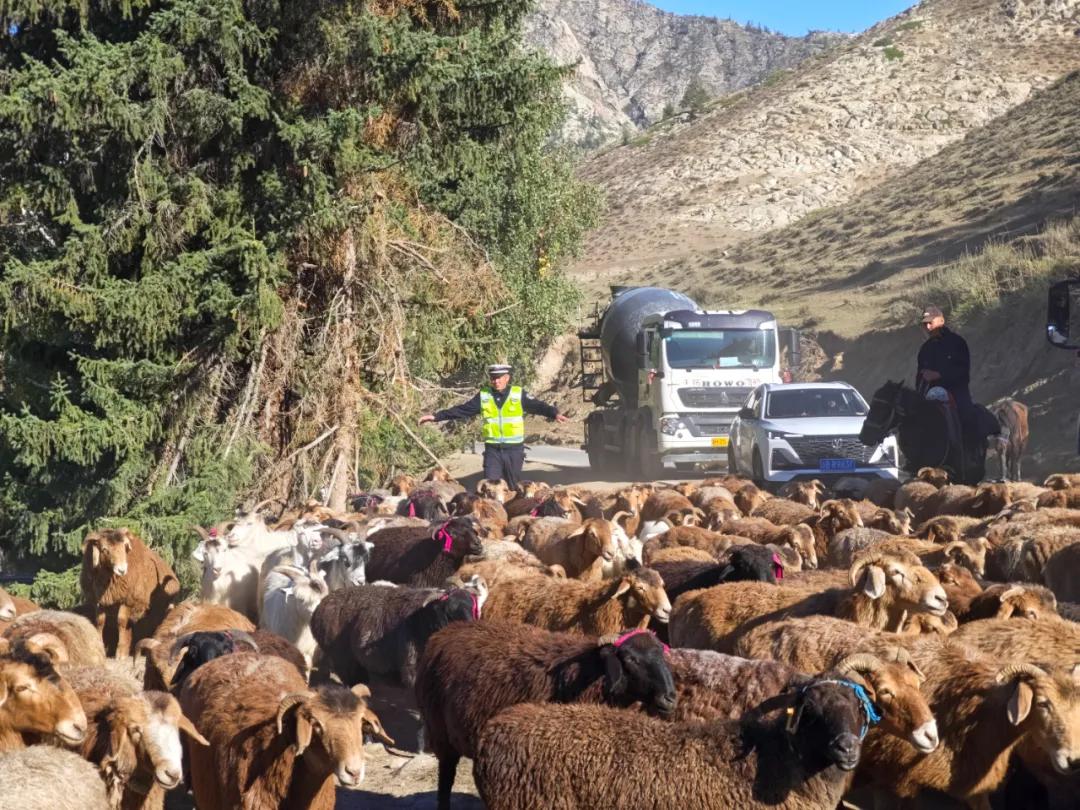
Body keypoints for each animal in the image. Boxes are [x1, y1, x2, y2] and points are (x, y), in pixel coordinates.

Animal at [81, 528, 181, 658]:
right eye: (105, 550)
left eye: (124, 548)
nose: (122, 570)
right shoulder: (100, 601)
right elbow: (100, 622)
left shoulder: (128, 600)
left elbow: (121, 621)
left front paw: (120, 653)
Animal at [310, 583, 483, 688]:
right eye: (450, 613)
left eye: (473, 607)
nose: (470, 630)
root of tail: (321, 606)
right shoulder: (412, 669)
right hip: (342, 659)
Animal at [417, 621, 676, 810]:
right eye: (632, 659)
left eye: (662, 656)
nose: (670, 698)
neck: (589, 673)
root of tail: (443, 633)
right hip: (440, 732)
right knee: (445, 778)